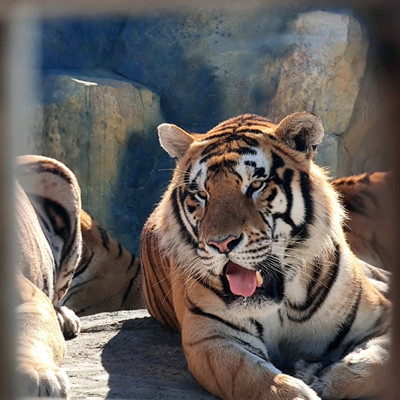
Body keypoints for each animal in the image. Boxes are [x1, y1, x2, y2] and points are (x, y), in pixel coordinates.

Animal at [141, 111, 390, 400]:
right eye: (202, 194)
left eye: (256, 185)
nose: (221, 244)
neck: (282, 304)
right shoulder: (211, 337)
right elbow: (253, 377)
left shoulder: (380, 316)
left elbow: (378, 363)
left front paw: (320, 375)